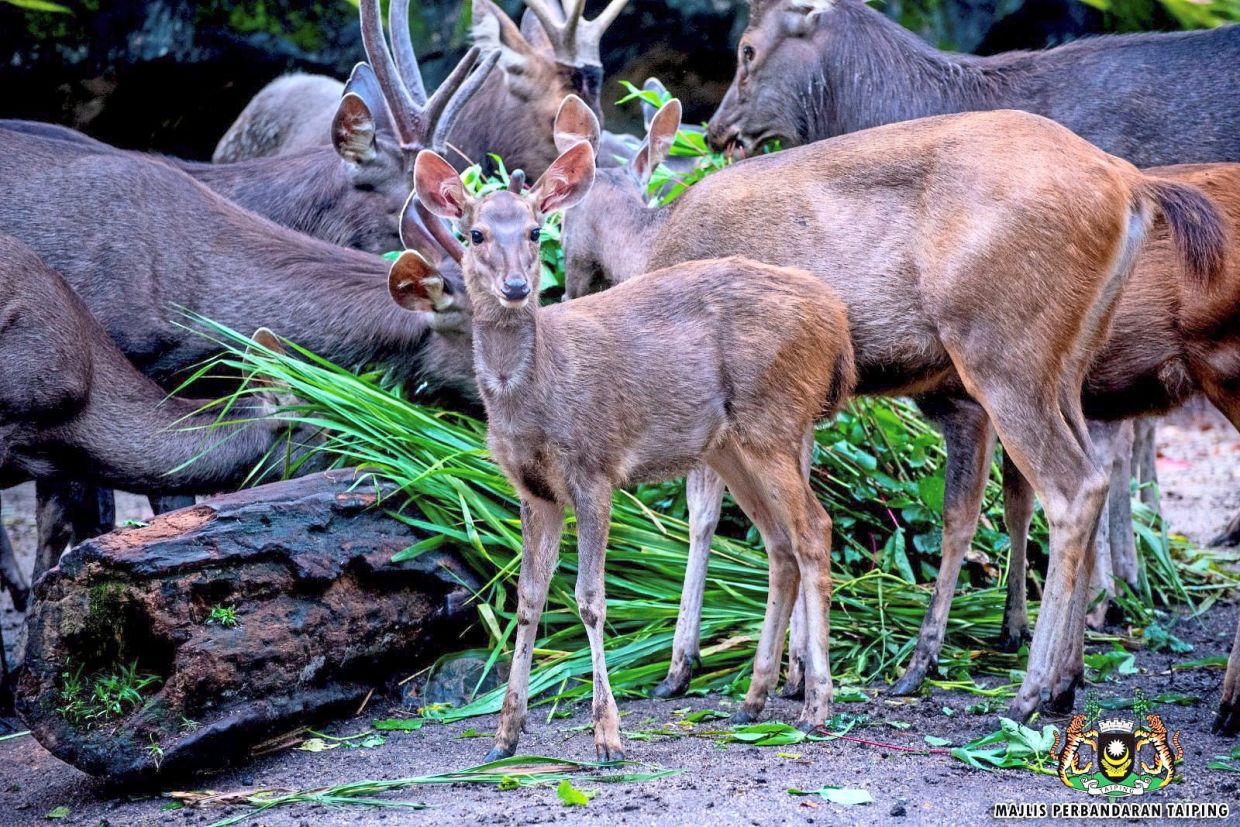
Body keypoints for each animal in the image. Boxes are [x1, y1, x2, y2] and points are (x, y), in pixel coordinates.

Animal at [404, 135, 855, 762]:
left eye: (536, 231)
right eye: (475, 233)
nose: (517, 287)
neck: (536, 395)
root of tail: (837, 322)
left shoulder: (594, 469)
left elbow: (590, 598)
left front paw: (608, 737)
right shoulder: (534, 490)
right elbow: (528, 599)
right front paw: (504, 735)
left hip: (774, 420)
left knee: (814, 529)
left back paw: (816, 704)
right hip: (730, 445)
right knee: (780, 544)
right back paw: (753, 699)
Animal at [554, 94, 1227, 720]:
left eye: (555, 214)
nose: (563, 287)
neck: (649, 248)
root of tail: (1130, 186)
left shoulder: (706, 397)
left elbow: (703, 517)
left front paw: (685, 666)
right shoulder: (791, 407)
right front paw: (797, 672)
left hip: (1001, 349)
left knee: (1072, 488)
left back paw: (1026, 692)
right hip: (1065, 366)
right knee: (1091, 475)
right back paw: (1064, 680)